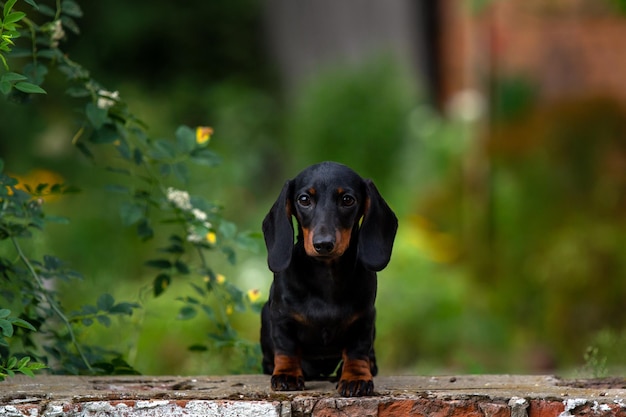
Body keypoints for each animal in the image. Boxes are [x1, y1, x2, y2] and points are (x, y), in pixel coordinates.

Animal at [258, 160, 394, 396]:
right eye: (304, 199)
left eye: (347, 200)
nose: (323, 244)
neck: (326, 276)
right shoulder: (281, 317)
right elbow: (286, 348)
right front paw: (286, 374)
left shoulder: (364, 319)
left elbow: (357, 350)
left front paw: (355, 377)